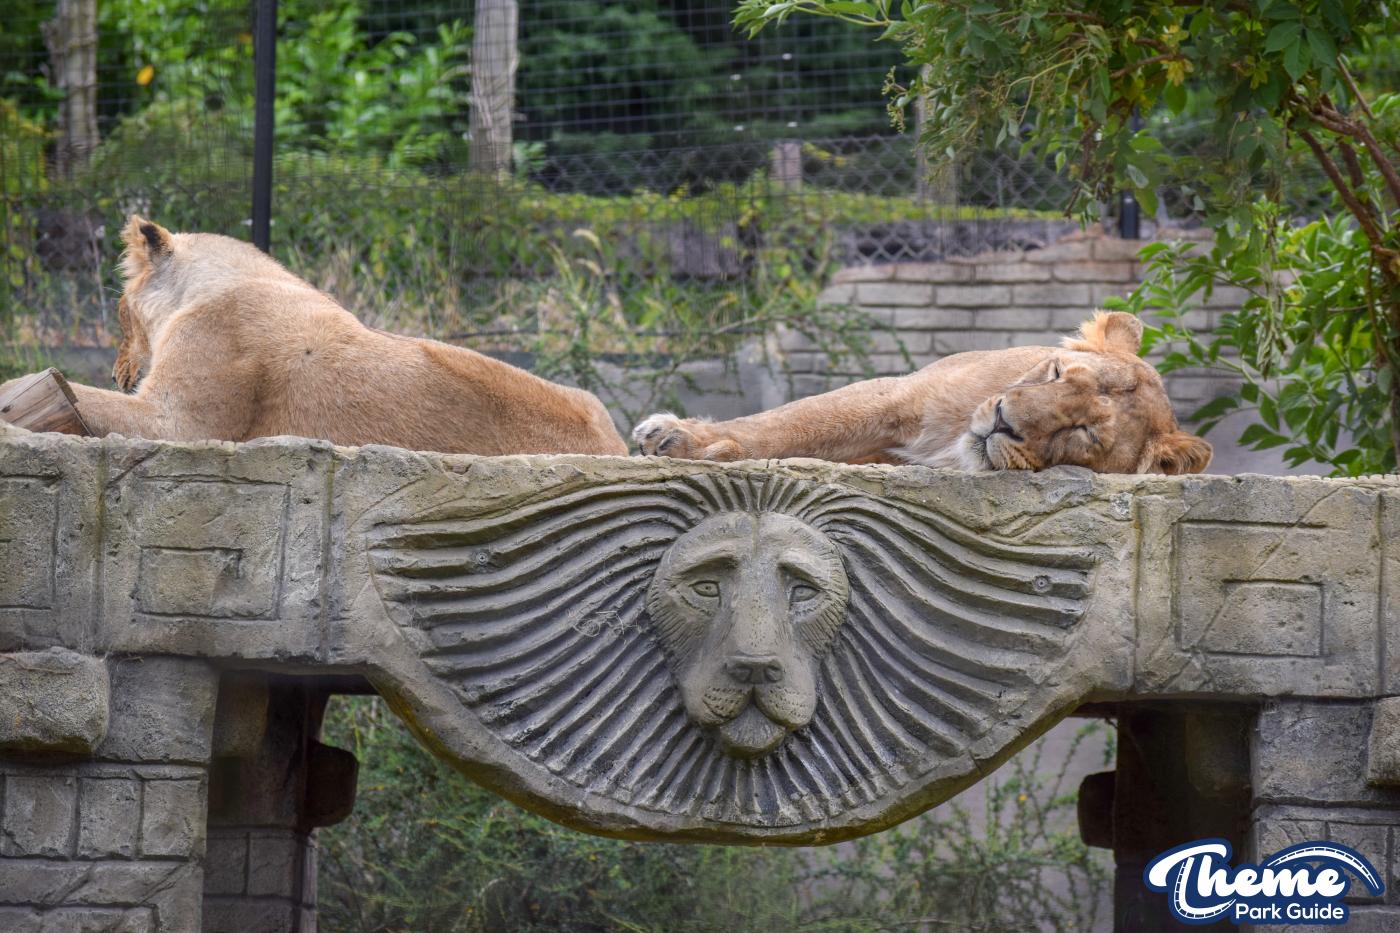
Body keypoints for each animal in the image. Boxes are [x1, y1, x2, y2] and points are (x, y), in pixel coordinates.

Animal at [633, 310, 1212, 474]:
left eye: (1084, 432)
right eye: (1056, 374)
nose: (1002, 420)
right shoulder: (898, 397)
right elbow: (792, 422)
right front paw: (677, 438)